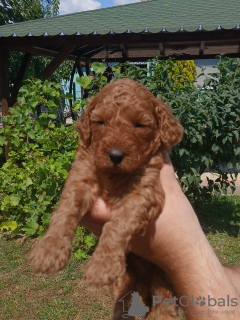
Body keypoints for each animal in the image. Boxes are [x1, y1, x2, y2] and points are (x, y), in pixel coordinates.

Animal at [29, 78, 183, 320]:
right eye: (100, 122)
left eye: (139, 125)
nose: (115, 155)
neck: (114, 175)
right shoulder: (81, 174)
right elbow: (66, 209)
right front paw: (49, 250)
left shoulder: (146, 190)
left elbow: (119, 223)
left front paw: (102, 265)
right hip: (124, 280)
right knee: (123, 301)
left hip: (162, 270)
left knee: (163, 295)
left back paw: (161, 314)